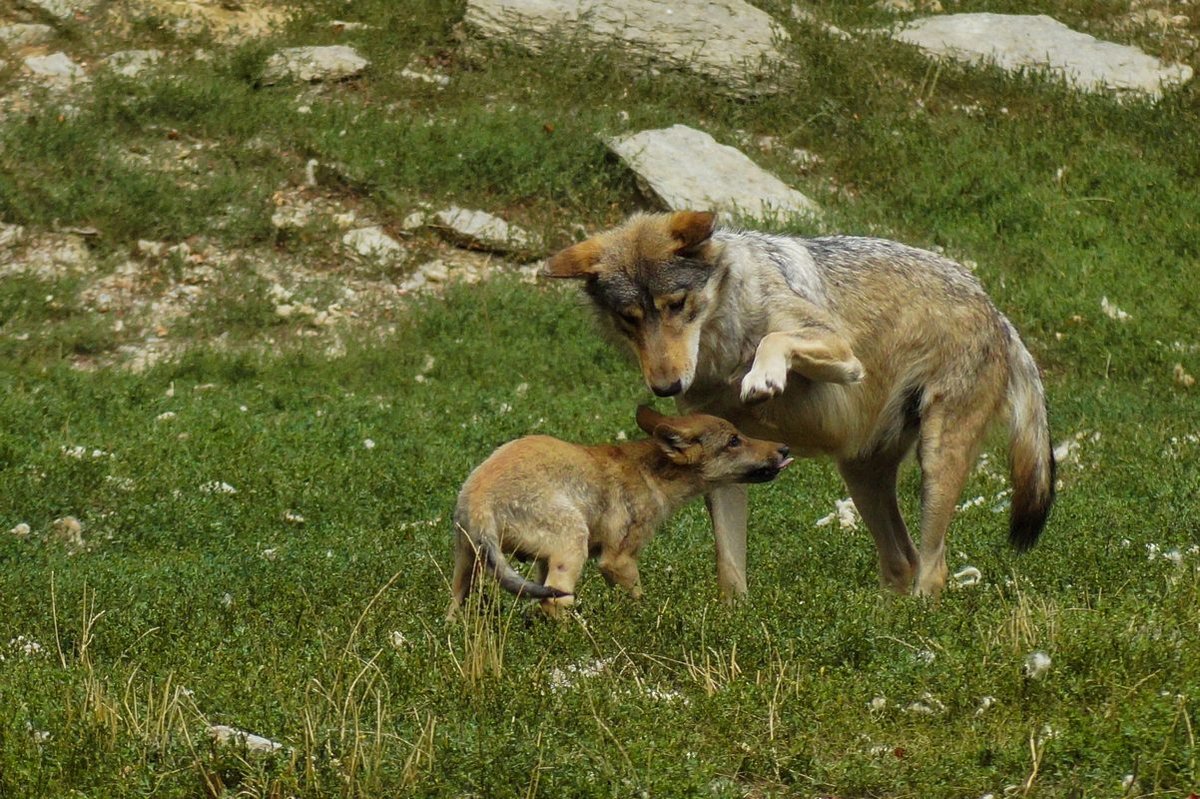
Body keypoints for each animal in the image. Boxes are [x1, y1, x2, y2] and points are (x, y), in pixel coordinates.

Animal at [544, 208, 1051, 595]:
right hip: (861, 476)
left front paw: (764, 376)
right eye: (630, 320)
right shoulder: (721, 466)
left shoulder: (842, 355)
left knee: (932, 567)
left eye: (677, 304)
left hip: (936, 463)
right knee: (901, 560)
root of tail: (995, 309)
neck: (722, 347)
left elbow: (775, 338)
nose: (666, 387)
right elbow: (730, 570)